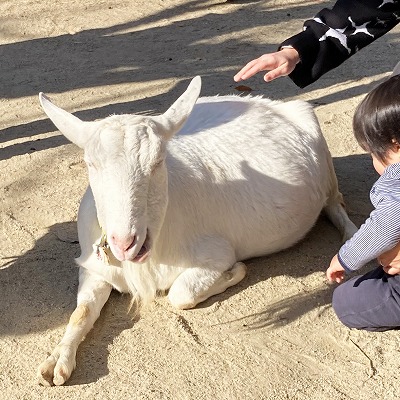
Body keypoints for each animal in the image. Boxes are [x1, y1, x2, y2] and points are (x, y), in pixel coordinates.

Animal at [36, 76, 356, 386]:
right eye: (91, 164)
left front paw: (236, 272)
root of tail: (273, 104)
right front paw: (57, 362)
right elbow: (82, 311)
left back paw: (350, 238)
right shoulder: (95, 266)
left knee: (335, 203)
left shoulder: (216, 253)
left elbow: (181, 294)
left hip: (322, 153)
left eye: (158, 162)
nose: (125, 242)